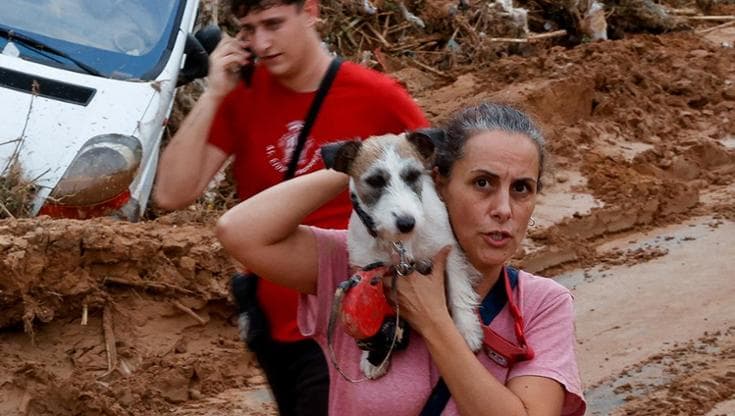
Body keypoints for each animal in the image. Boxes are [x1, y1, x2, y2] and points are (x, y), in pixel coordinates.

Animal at [320, 130, 484, 380]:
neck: (400, 243)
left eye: (413, 175)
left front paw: (466, 329)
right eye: (375, 181)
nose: (407, 222)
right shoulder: (368, 271)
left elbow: (458, 289)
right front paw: (373, 357)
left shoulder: (449, 250)